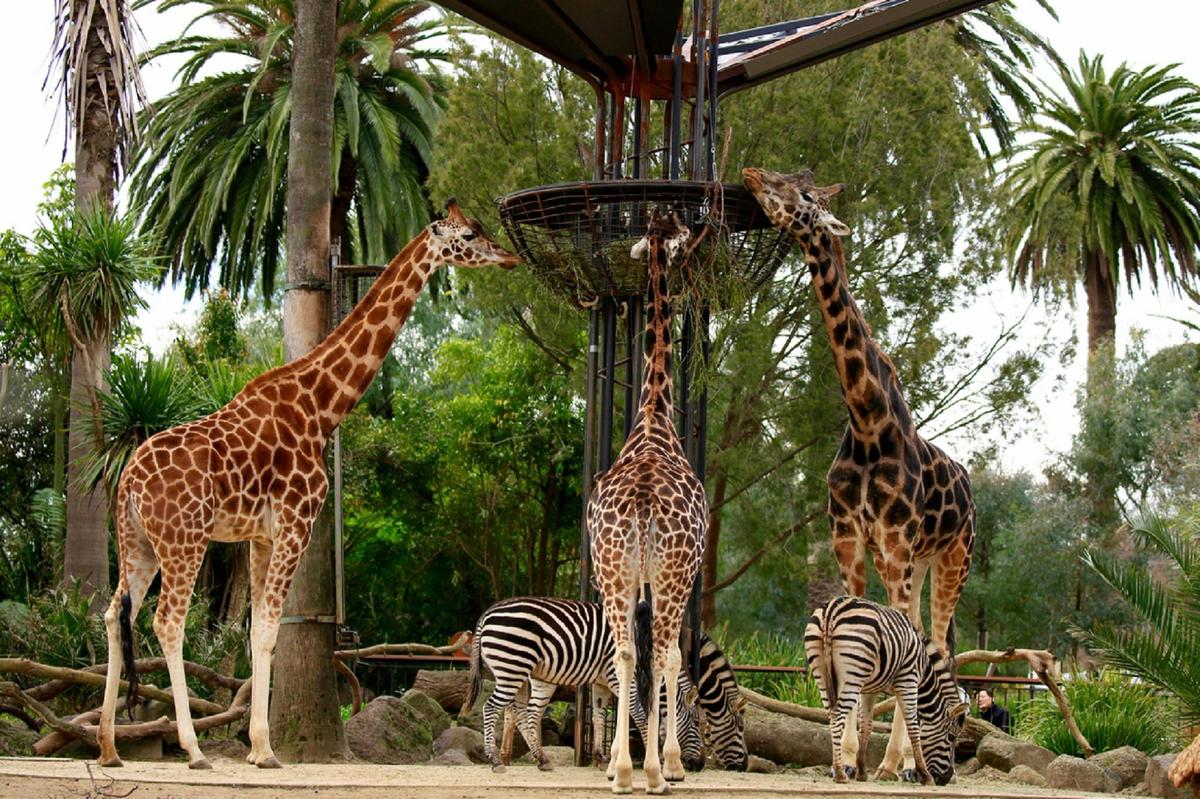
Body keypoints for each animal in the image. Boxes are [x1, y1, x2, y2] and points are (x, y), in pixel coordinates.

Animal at [96, 201, 520, 770]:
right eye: (470, 234)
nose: (511, 256)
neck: (321, 408)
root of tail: (127, 483)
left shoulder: (260, 536)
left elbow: (256, 629)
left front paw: (258, 748)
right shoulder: (297, 522)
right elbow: (269, 629)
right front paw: (265, 749)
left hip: (139, 544)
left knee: (112, 615)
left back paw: (108, 748)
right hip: (184, 540)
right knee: (167, 622)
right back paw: (192, 749)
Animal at [743, 167, 975, 781]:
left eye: (804, 194)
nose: (753, 174)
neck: (869, 422)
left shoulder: (894, 542)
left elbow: (902, 646)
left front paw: (887, 761)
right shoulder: (847, 539)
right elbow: (861, 639)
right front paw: (851, 756)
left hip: (951, 561)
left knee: (937, 640)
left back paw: (911, 762)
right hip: (919, 563)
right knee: (926, 638)